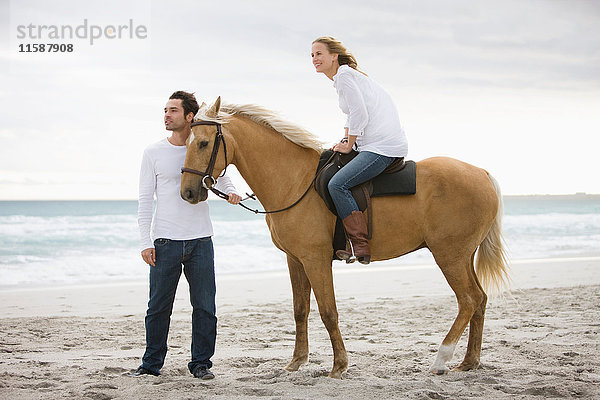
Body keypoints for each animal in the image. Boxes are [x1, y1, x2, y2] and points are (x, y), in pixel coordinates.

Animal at [180, 97, 508, 378]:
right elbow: (300, 310)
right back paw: (469, 361)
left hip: (449, 255)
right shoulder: (295, 260)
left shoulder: (316, 260)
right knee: (480, 299)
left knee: (468, 300)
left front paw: (339, 366)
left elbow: (328, 312)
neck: (295, 180)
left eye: (204, 143)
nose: (188, 192)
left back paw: (442, 358)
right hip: (463, 256)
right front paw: (296, 362)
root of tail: (482, 173)